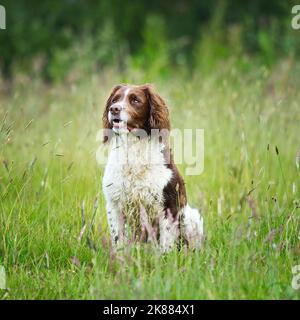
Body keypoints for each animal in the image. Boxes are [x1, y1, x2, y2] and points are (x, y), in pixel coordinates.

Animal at [101, 84, 204, 252]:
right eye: (115, 99)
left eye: (135, 100)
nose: (114, 109)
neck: (134, 149)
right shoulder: (114, 204)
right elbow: (118, 240)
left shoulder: (168, 206)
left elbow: (166, 243)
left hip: (193, 217)